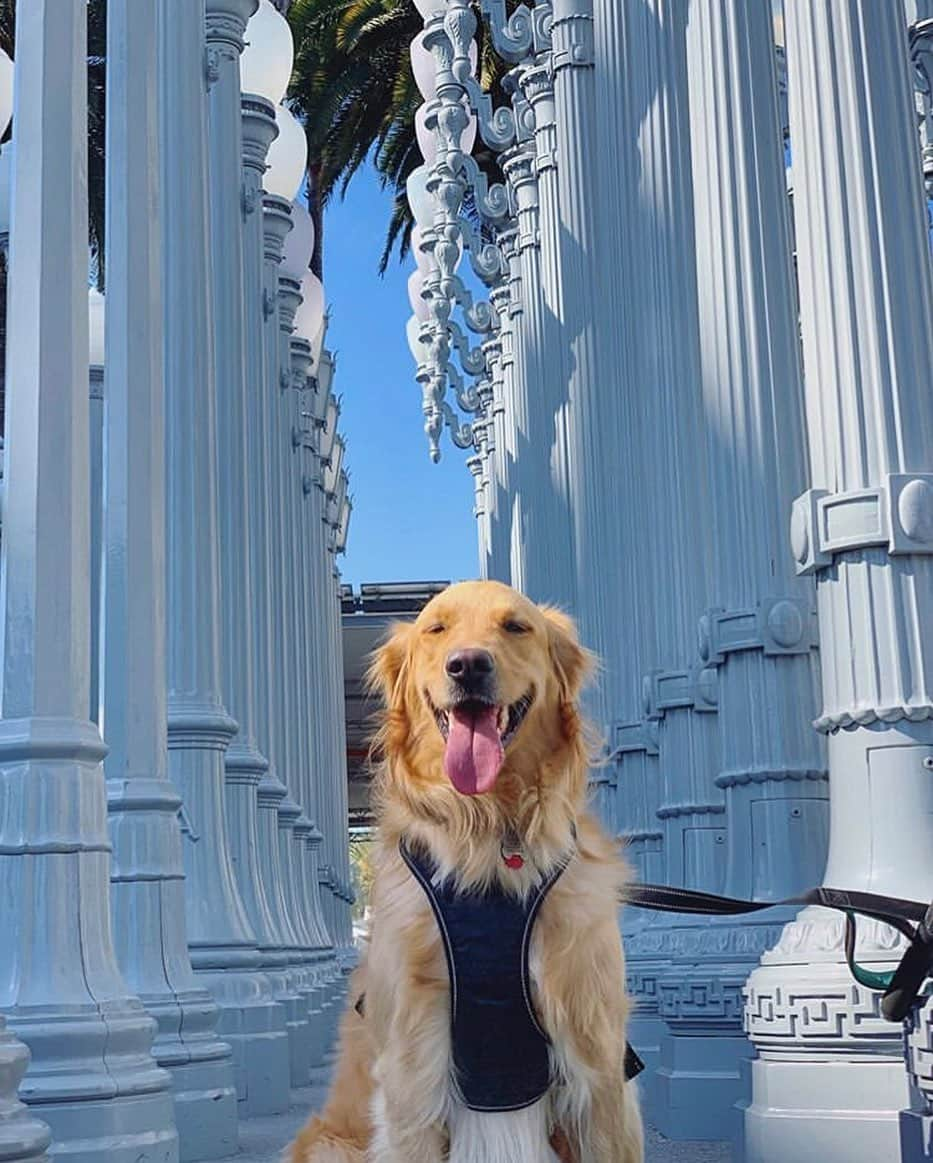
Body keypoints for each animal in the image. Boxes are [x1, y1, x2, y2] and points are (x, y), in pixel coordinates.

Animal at [288, 581, 642, 1163]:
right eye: (437, 629)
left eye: (516, 626)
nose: (468, 665)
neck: (491, 835)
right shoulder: (412, 1072)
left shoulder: (597, 1061)